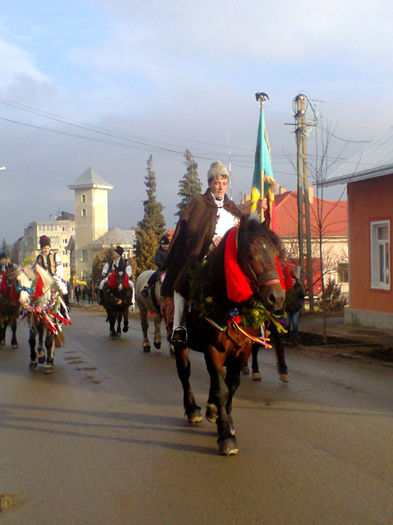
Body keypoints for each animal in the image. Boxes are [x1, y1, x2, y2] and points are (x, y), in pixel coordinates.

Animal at [162, 216, 284, 454]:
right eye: (251, 255)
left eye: (275, 252)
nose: (277, 297)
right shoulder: (213, 350)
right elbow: (221, 389)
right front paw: (226, 435)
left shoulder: (242, 351)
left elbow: (231, 385)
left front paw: (224, 419)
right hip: (181, 345)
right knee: (185, 374)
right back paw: (193, 409)